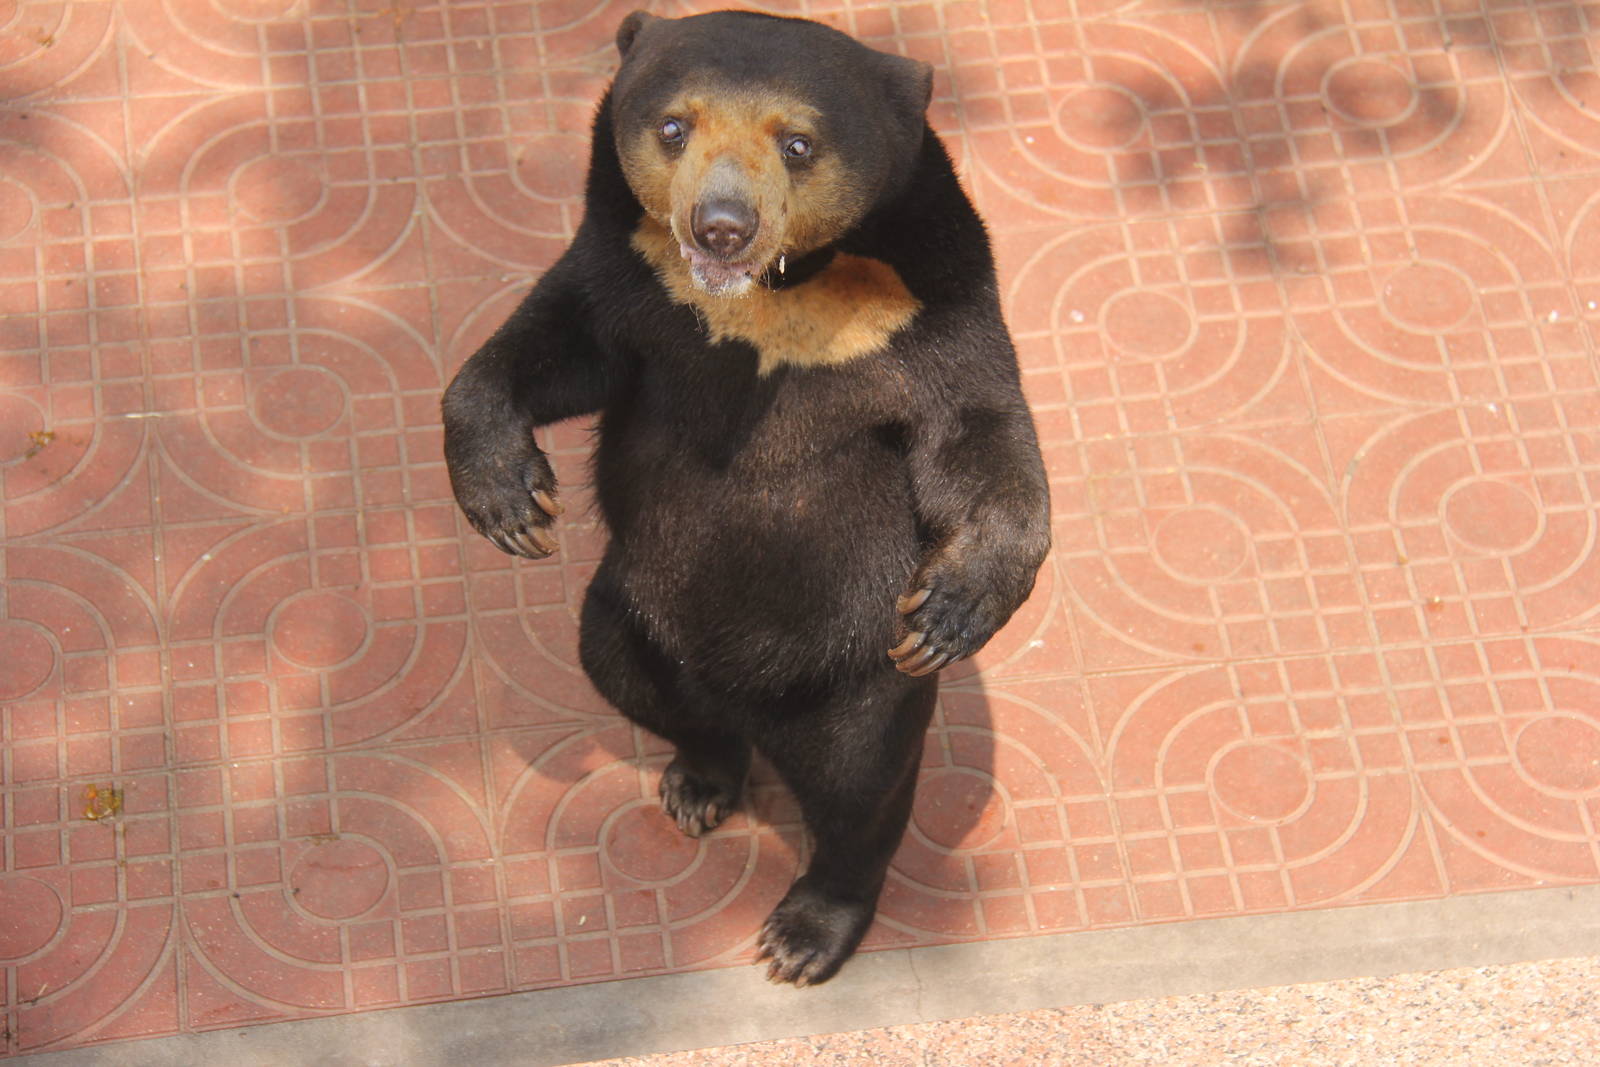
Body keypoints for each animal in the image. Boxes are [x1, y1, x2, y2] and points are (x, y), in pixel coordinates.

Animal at [442, 9, 1050, 986]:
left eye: (797, 143)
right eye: (673, 126)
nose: (721, 226)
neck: (772, 295)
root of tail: (756, 705)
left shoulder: (932, 305)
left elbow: (978, 435)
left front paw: (955, 607)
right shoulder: (631, 269)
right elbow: (551, 345)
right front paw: (510, 503)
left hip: (857, 675)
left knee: (863, 788)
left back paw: (804, 932)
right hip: (634, 615)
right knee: (633, 677)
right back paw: (698, 781)